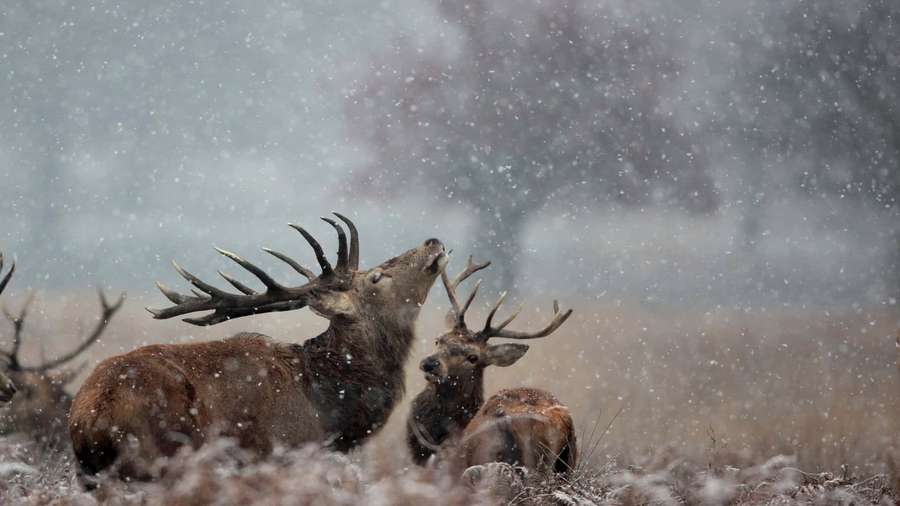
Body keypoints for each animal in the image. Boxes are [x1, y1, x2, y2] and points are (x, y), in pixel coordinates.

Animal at [68, 214, 448, 485]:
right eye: (376, 277)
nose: (433, 241)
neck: (329, 412)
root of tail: (92, 416)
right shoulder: (283, 453)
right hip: (160, 459)